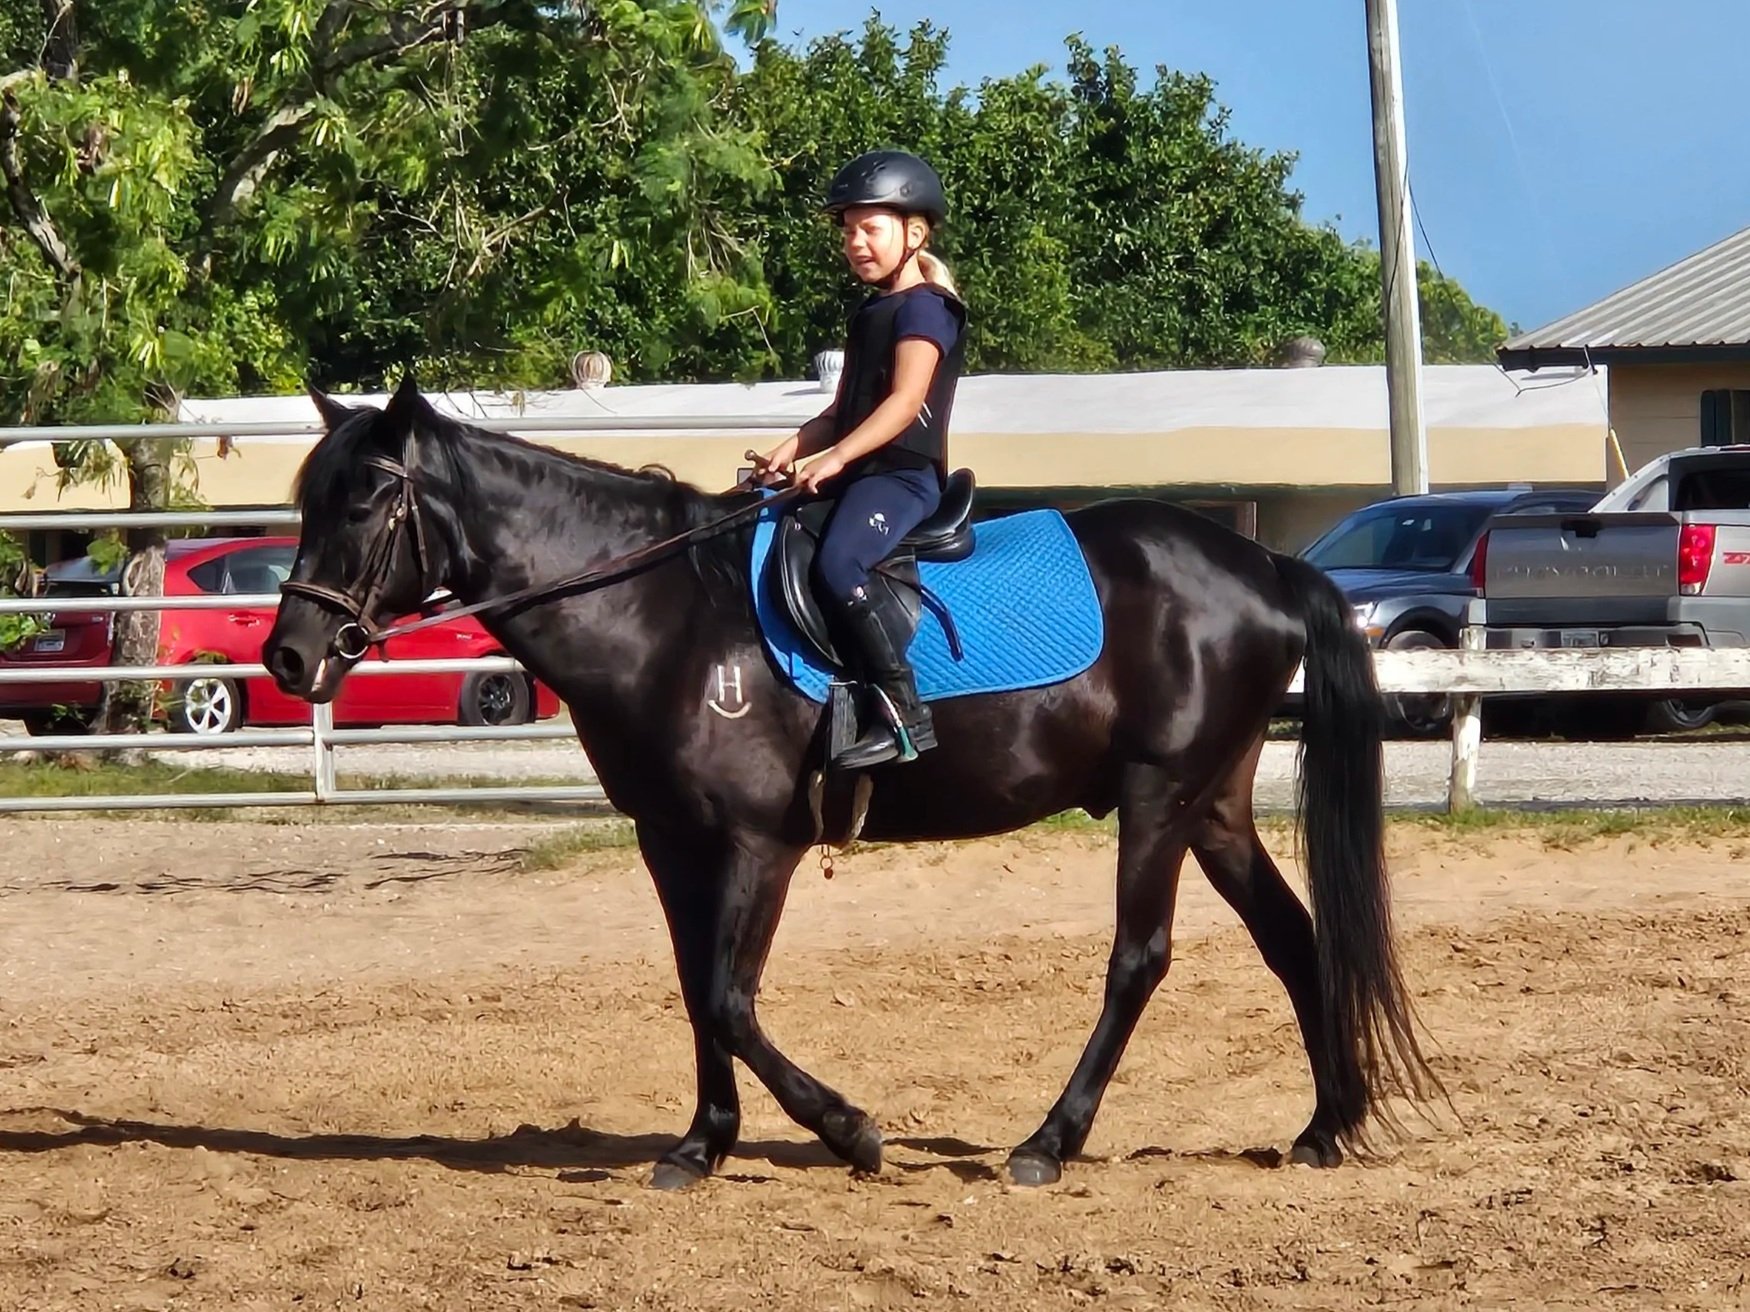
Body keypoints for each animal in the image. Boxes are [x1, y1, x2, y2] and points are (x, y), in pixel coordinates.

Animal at [262, 376, 1436, 1190]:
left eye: (367, 502)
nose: (288, 656)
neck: (665, 617)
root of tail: (1263, 566)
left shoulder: (759, 842)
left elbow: (730, 997)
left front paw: (850, 1130)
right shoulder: (670, 840)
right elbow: (697, 988)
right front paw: (702, 1145)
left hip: (1158, 799)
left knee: (1137, 962)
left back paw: (1049, 1141)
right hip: (1213, 807)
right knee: (1295, 939)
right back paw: (1326, 1126)